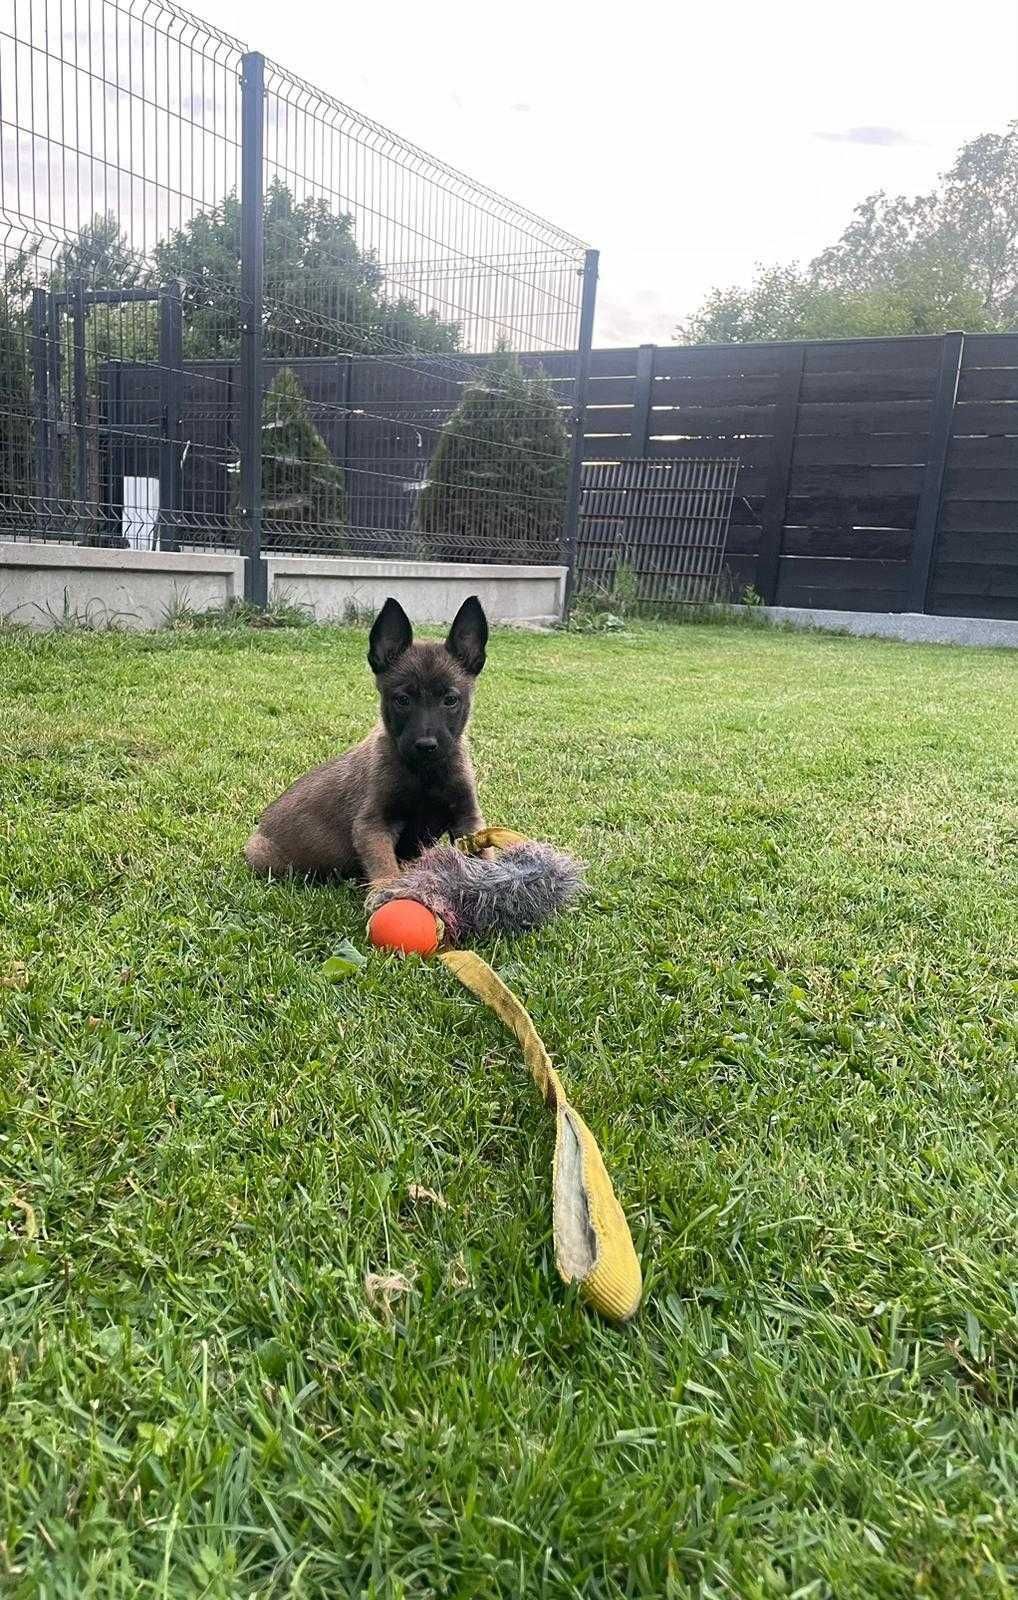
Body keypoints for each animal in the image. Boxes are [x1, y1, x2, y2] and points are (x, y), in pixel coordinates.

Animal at [243, 595, 489, 889]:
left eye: (450, 700)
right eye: (402, 700)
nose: (426, 745)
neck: (424, 773)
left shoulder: (467, 818)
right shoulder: (372, 825)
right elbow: (384, 868)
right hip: (265, 857)